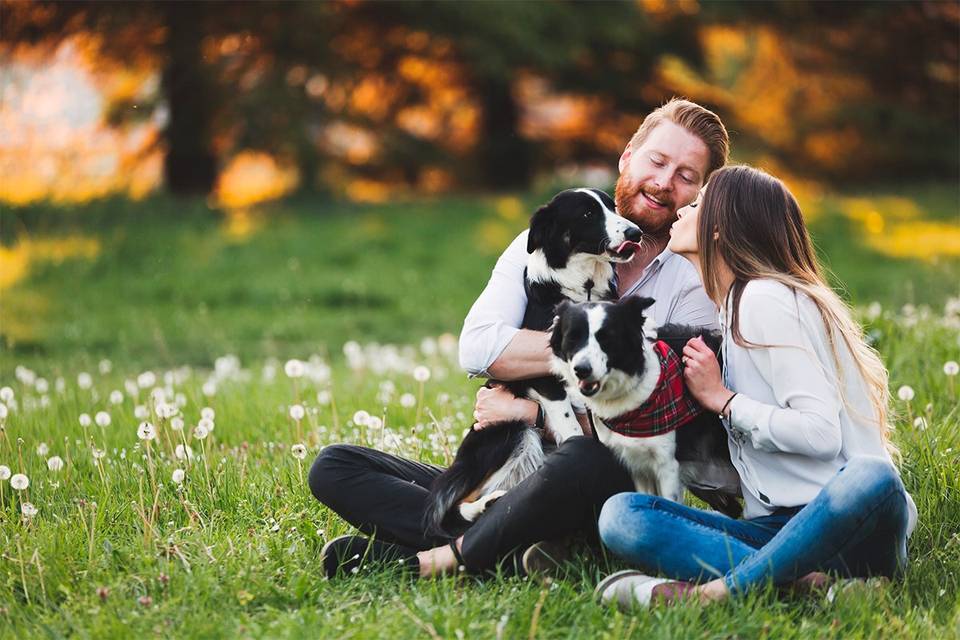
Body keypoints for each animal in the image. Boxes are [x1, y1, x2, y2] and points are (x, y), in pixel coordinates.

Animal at [424, 188, 640, 536]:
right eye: (588, 214)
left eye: (613, 207)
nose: (636, 233)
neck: (585, 289)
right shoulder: (544, 376)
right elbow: (571, 425)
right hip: (510, 432)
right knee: (454, 507)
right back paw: (486, 504)